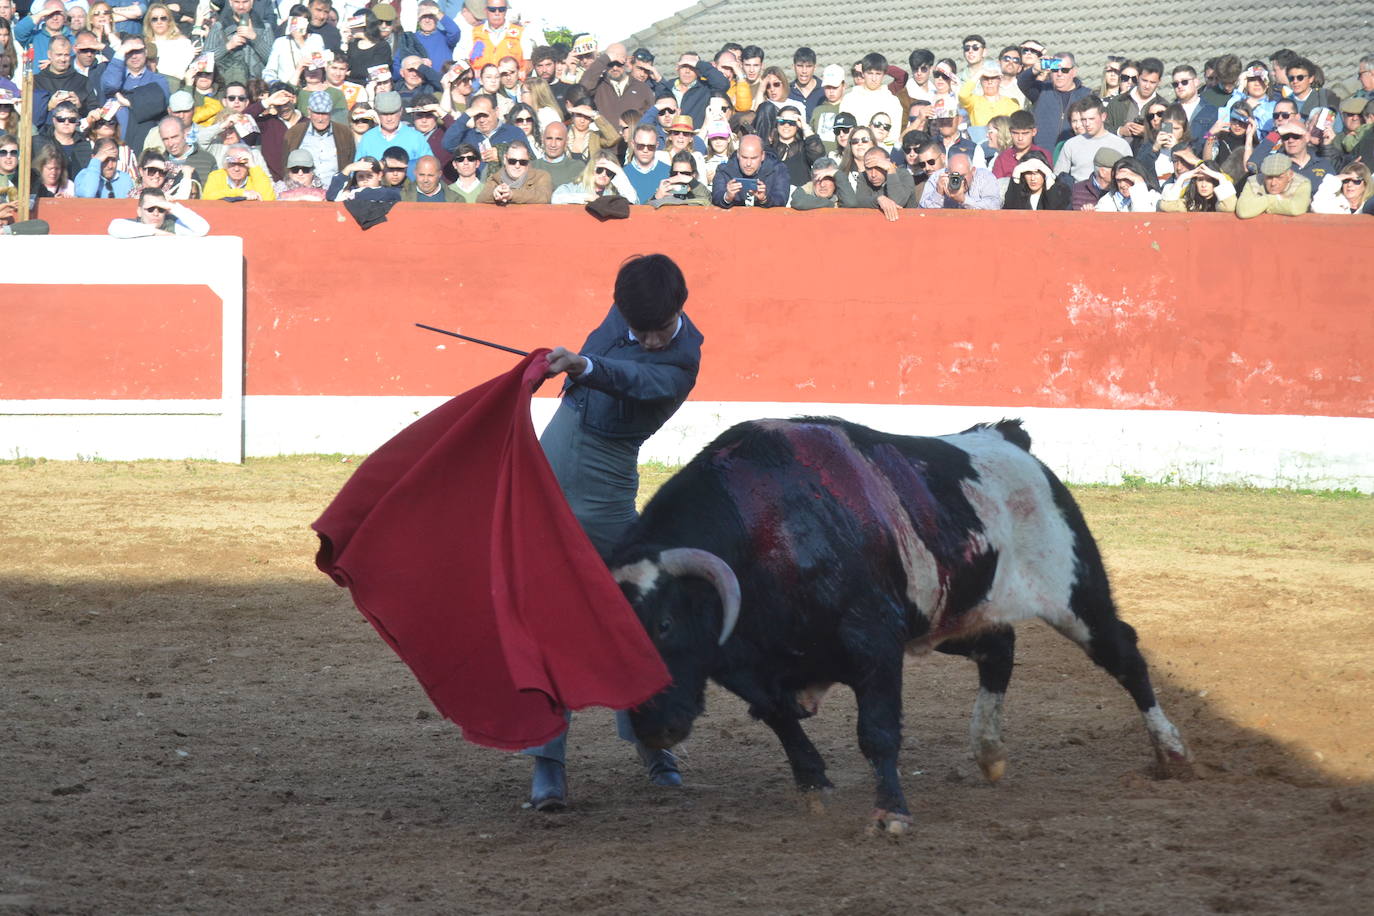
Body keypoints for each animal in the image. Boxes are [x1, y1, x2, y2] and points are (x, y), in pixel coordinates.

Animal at [610, 420, 1192, 834]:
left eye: (665, 623)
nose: (653, 728)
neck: (767, 532)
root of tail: (1008, 439)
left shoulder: (875, 643)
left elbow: (877, 732)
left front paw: (890, 812)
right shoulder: (743, 665)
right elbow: (779, 718)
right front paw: (815, 783)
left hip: (1077, 596)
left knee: (1123, 654)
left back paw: (1171, 753)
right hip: (949, 621)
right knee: (999, 648)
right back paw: (988, 751)